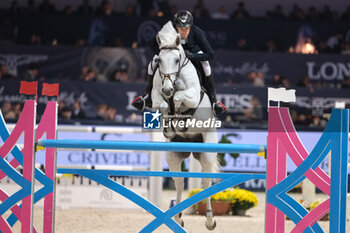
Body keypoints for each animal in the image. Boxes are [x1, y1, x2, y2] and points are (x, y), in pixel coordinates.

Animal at [152, 21, 217, 229]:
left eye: (176, 59)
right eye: (160, 60)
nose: (167, 88)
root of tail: (191, 148)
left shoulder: (193, 95)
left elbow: (180, 97)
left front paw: (177, 107)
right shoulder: (156, 97)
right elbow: (164, 104)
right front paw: (169, 123)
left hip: (207, 152)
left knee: (206, 182)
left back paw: (210, 220)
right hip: (174, 155)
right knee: (180, 182)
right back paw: (178, 217)